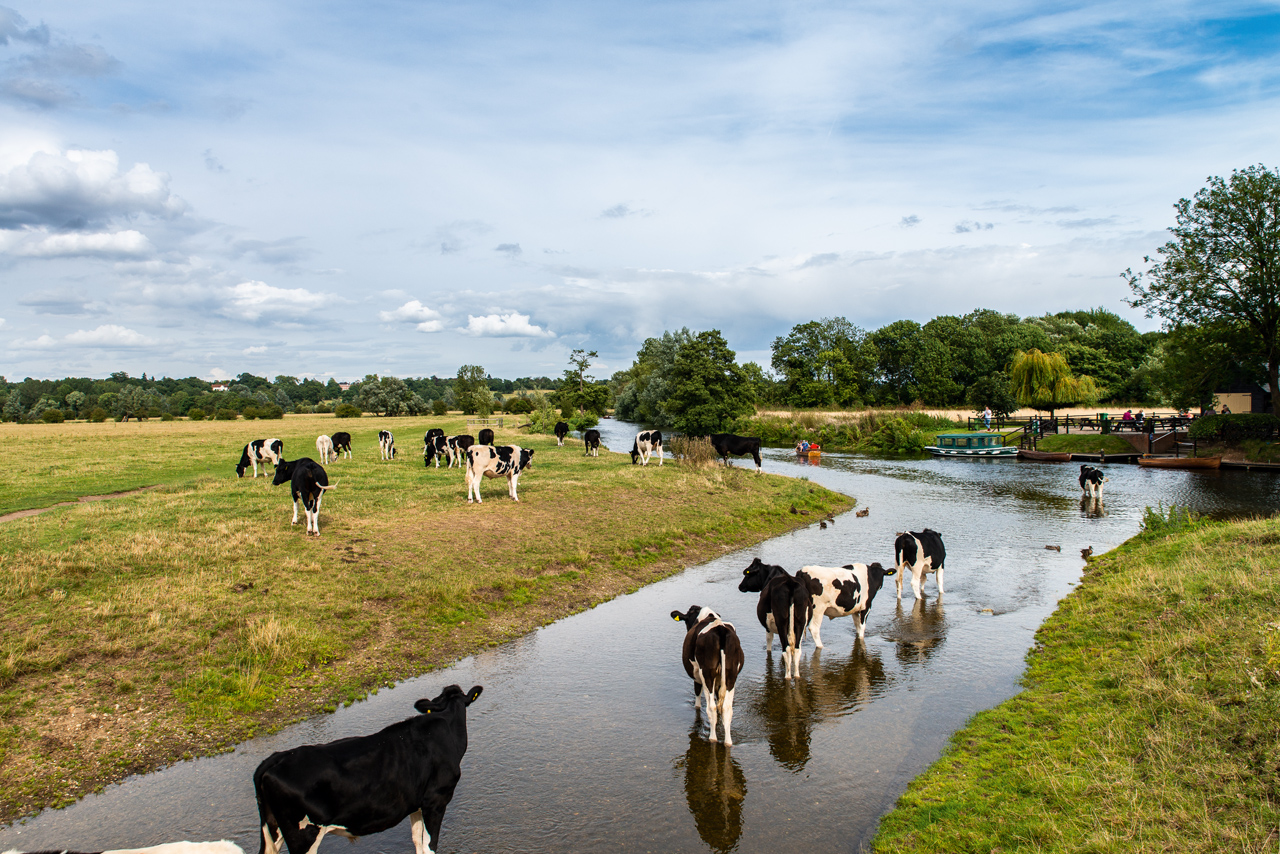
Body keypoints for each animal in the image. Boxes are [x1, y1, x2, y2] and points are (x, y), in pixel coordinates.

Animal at [252, 686, 481, 854]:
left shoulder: (416, 804)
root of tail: (277, 757)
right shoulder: (436, 801)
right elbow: (429, 846)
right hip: (304, 834)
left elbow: (417, 842)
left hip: (272, 829)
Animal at [670, 606, 747, 742]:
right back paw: (728, 742)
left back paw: (712, 738)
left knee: (711, 708)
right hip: (731, 674)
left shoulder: (697, 676)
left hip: (706, 674)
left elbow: (698, 699)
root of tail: (720, 629)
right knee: (726, 708)